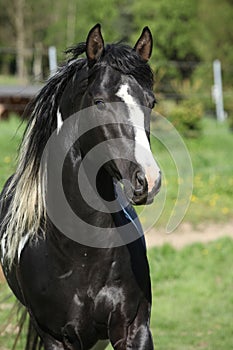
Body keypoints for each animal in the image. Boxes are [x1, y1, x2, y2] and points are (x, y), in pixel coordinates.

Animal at [0, 25, 161, 350]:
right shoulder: (56, 337)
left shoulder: (134, 329)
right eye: (99, 102)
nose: (148, 180)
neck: (82, 252)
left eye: (150, 102)